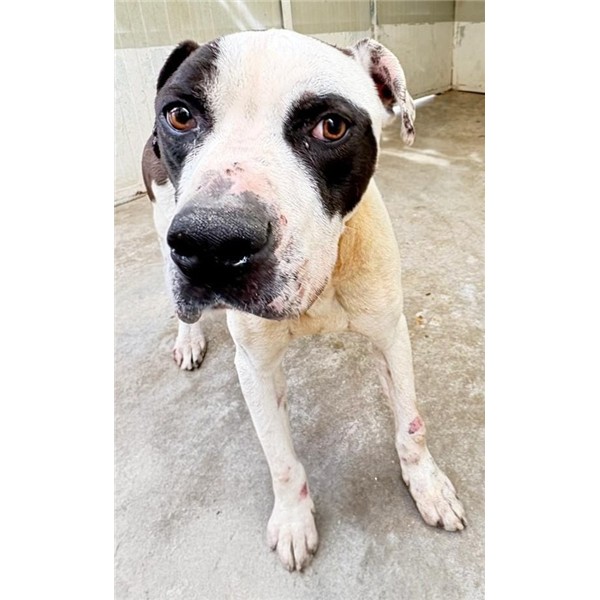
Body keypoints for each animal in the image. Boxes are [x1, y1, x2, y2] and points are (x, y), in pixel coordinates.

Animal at [141, 28, 466, 571]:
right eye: (179, 115)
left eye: (331, 126)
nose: (210, 244)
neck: (322, 286)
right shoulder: (255, 366)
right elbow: (280, 458)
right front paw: (295, 521)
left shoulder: (391, 335)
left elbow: (411, 425)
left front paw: (428, 486)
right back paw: (188, 338)